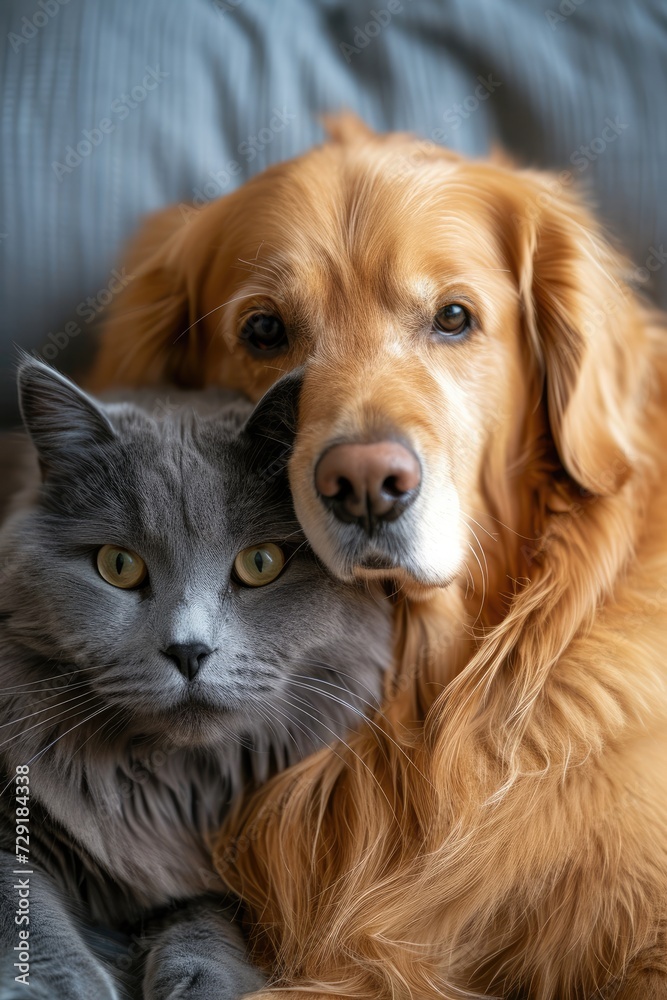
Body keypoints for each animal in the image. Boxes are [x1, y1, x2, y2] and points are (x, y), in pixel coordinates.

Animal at [0, 360, 392, 1000]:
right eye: (118, 564)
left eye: (261, 563)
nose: (189, 651)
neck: (174, 789)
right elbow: (22, 906)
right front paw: (66, 988)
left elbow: (204, 931)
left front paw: (200, 983)